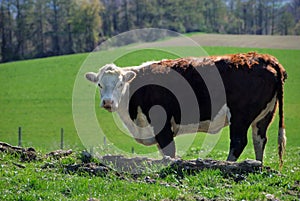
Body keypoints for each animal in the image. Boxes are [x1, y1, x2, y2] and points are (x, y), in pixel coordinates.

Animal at [85, 52, 288, 166]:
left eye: (120, 84)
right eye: (100, 85)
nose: (108, 102)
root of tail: (266, 59)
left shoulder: (162, 125)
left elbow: (169, 152)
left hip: (240, 116)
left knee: (238, 142)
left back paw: (227, 164)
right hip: (265, 115)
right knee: (259, 140)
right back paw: (257, 164)